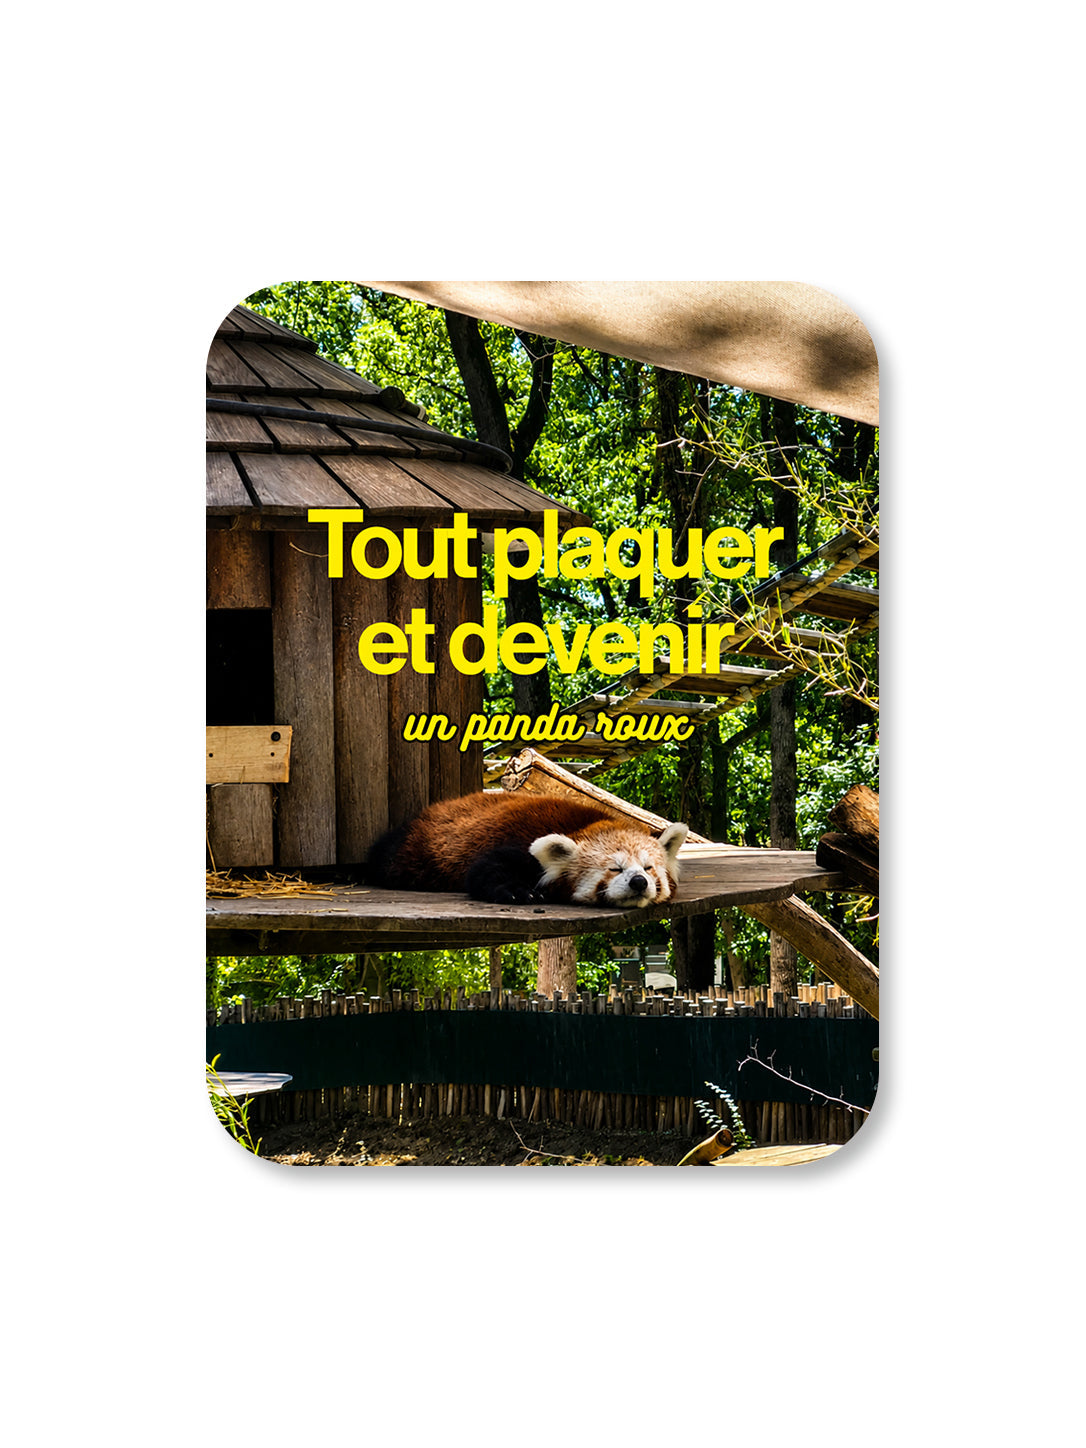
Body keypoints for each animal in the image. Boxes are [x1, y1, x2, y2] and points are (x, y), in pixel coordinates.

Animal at [366, 791, 689, 907]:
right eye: (615, 868)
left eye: (648, 868)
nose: (639, 882)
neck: (589, 823)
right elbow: (484, 869)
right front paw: (518, 892)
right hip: (412, 850)